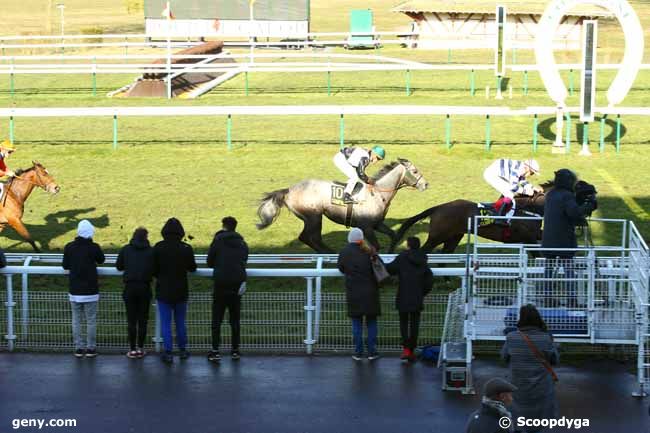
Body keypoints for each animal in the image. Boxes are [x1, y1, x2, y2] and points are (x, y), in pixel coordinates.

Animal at [256, 159, 428, 253]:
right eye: (414, 171)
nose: (426, 184)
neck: (378, 193)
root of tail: (289, 190)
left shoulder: (377, 224)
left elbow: (394, 235)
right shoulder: (366, 226)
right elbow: (376, 246)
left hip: (313, 218)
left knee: (312, 238)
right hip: (313, 216)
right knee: (308, 237)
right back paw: (330, 254)